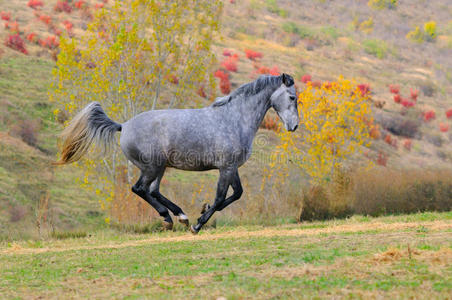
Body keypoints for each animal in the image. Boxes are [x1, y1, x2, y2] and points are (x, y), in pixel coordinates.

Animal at [54, 74, 298, 233]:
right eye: (292, 97)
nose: (294, 126)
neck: (234, 119)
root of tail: (123, 126)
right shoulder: (226, 167)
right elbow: (221, 197)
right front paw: (198, 224)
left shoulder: (232, 168)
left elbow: (236, 194)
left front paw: (201, 212)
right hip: (152, 167)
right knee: (140, 189)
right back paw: (171, 217)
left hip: (160, 168)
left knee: (153, 190)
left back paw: (179, 216)